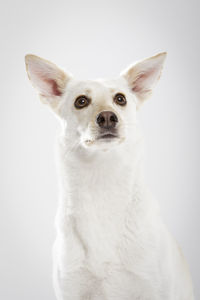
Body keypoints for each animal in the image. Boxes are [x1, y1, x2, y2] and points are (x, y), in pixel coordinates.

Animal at [25, 54, 194, 300]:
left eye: (120, 99)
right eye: (81, 101)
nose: (107, 117)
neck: (102, 177)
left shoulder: (153, 287)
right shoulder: (71, 288)